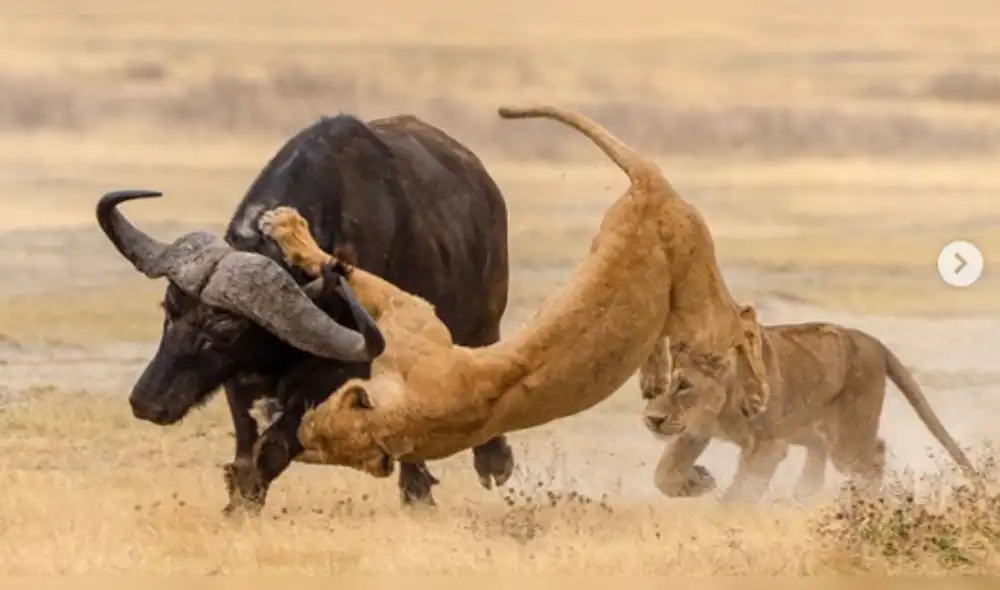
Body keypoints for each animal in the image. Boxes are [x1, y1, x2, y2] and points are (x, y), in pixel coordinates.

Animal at [96, 113, 515, 514]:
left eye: (226, 331)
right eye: (169, 309)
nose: (146, 402)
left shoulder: (338, 375)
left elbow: (274, 447)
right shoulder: (239, 383)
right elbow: (246, 447)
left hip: (483, 323)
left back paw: (479, 469)